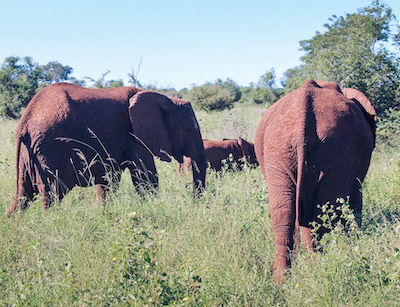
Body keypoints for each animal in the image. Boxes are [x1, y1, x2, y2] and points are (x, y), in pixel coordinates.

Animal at [6, 83, 206, 215]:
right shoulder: (134, 135)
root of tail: (24, 122)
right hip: (50, 151)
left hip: (29, 155)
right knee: (52, 196)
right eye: (188, 129)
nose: (196, 205)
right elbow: (146, 180)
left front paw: (102, 213)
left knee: (22, 197)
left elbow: (107, 180)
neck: (165, 99)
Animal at [255, 79, 376, 284]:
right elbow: (356, 198)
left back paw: (282, 282)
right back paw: (317, 271)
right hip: (335, 151)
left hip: (279, 149)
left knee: (284, 214)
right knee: (319, 214)